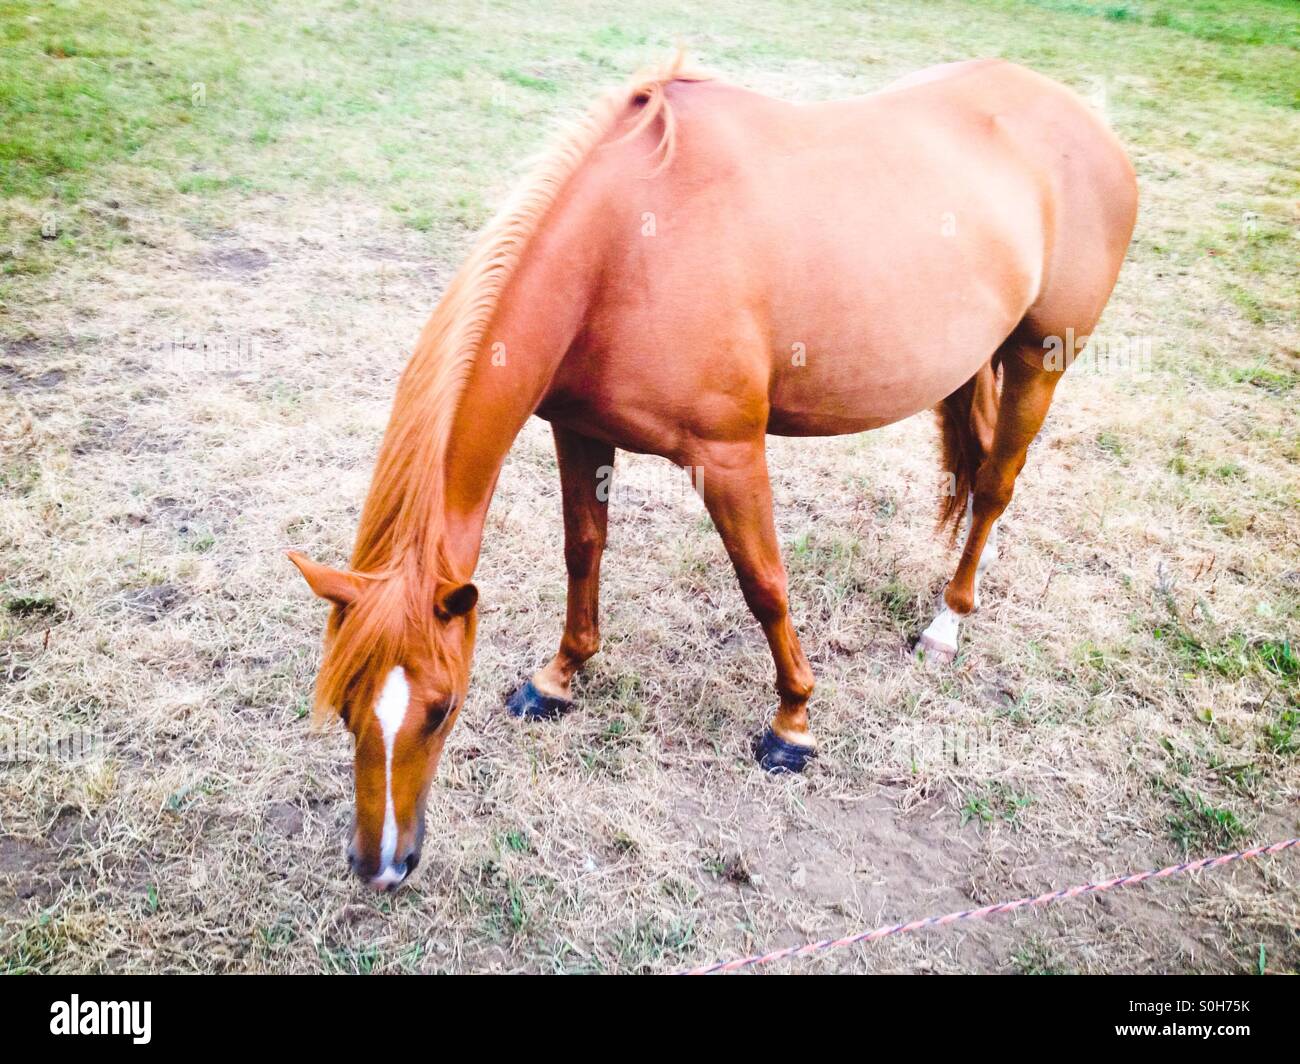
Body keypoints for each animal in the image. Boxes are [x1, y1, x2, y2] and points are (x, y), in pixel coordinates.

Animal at [289, 55, 1138, 888]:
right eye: (344, 703)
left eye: (442, 707)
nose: (380, 867)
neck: (623, 251)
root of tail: (1087, 120)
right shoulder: (578, 430)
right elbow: (583, 551)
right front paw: (560, 676)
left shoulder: (728, 454)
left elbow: (763, 584)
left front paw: (793, 724)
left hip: (1039, 360)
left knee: (994, 488)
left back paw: (946, 624)